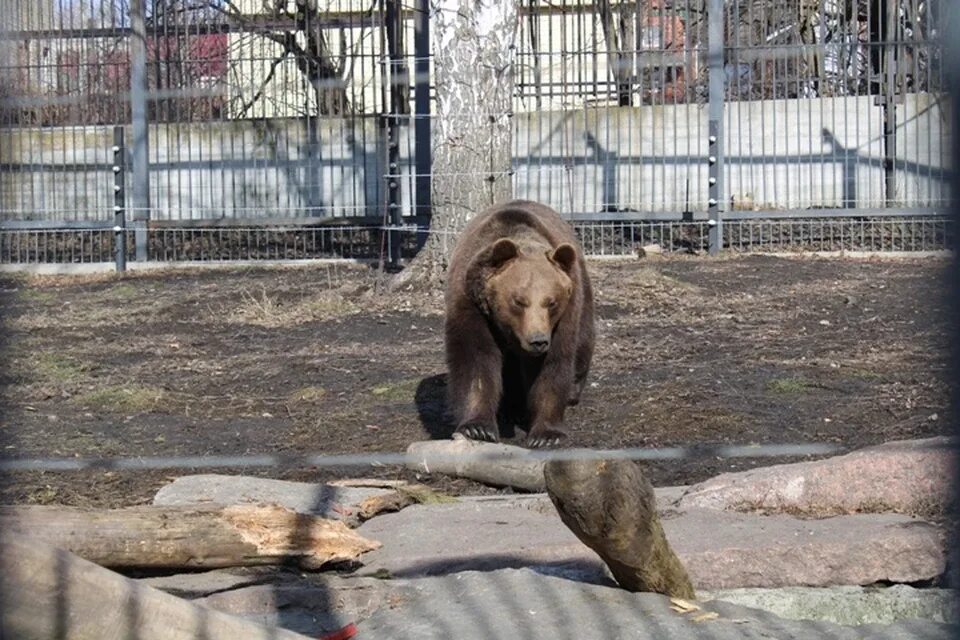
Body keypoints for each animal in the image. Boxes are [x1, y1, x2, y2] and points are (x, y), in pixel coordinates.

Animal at [442, 198, 592, 448]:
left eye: (551, 302)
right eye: (519, 301)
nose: (538, 340)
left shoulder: (563, 317)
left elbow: (552, 363)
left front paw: (547, 435)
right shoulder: (469, 303)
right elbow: (475, 358)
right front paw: (477, 428)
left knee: (583, 341)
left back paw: (571, 392)